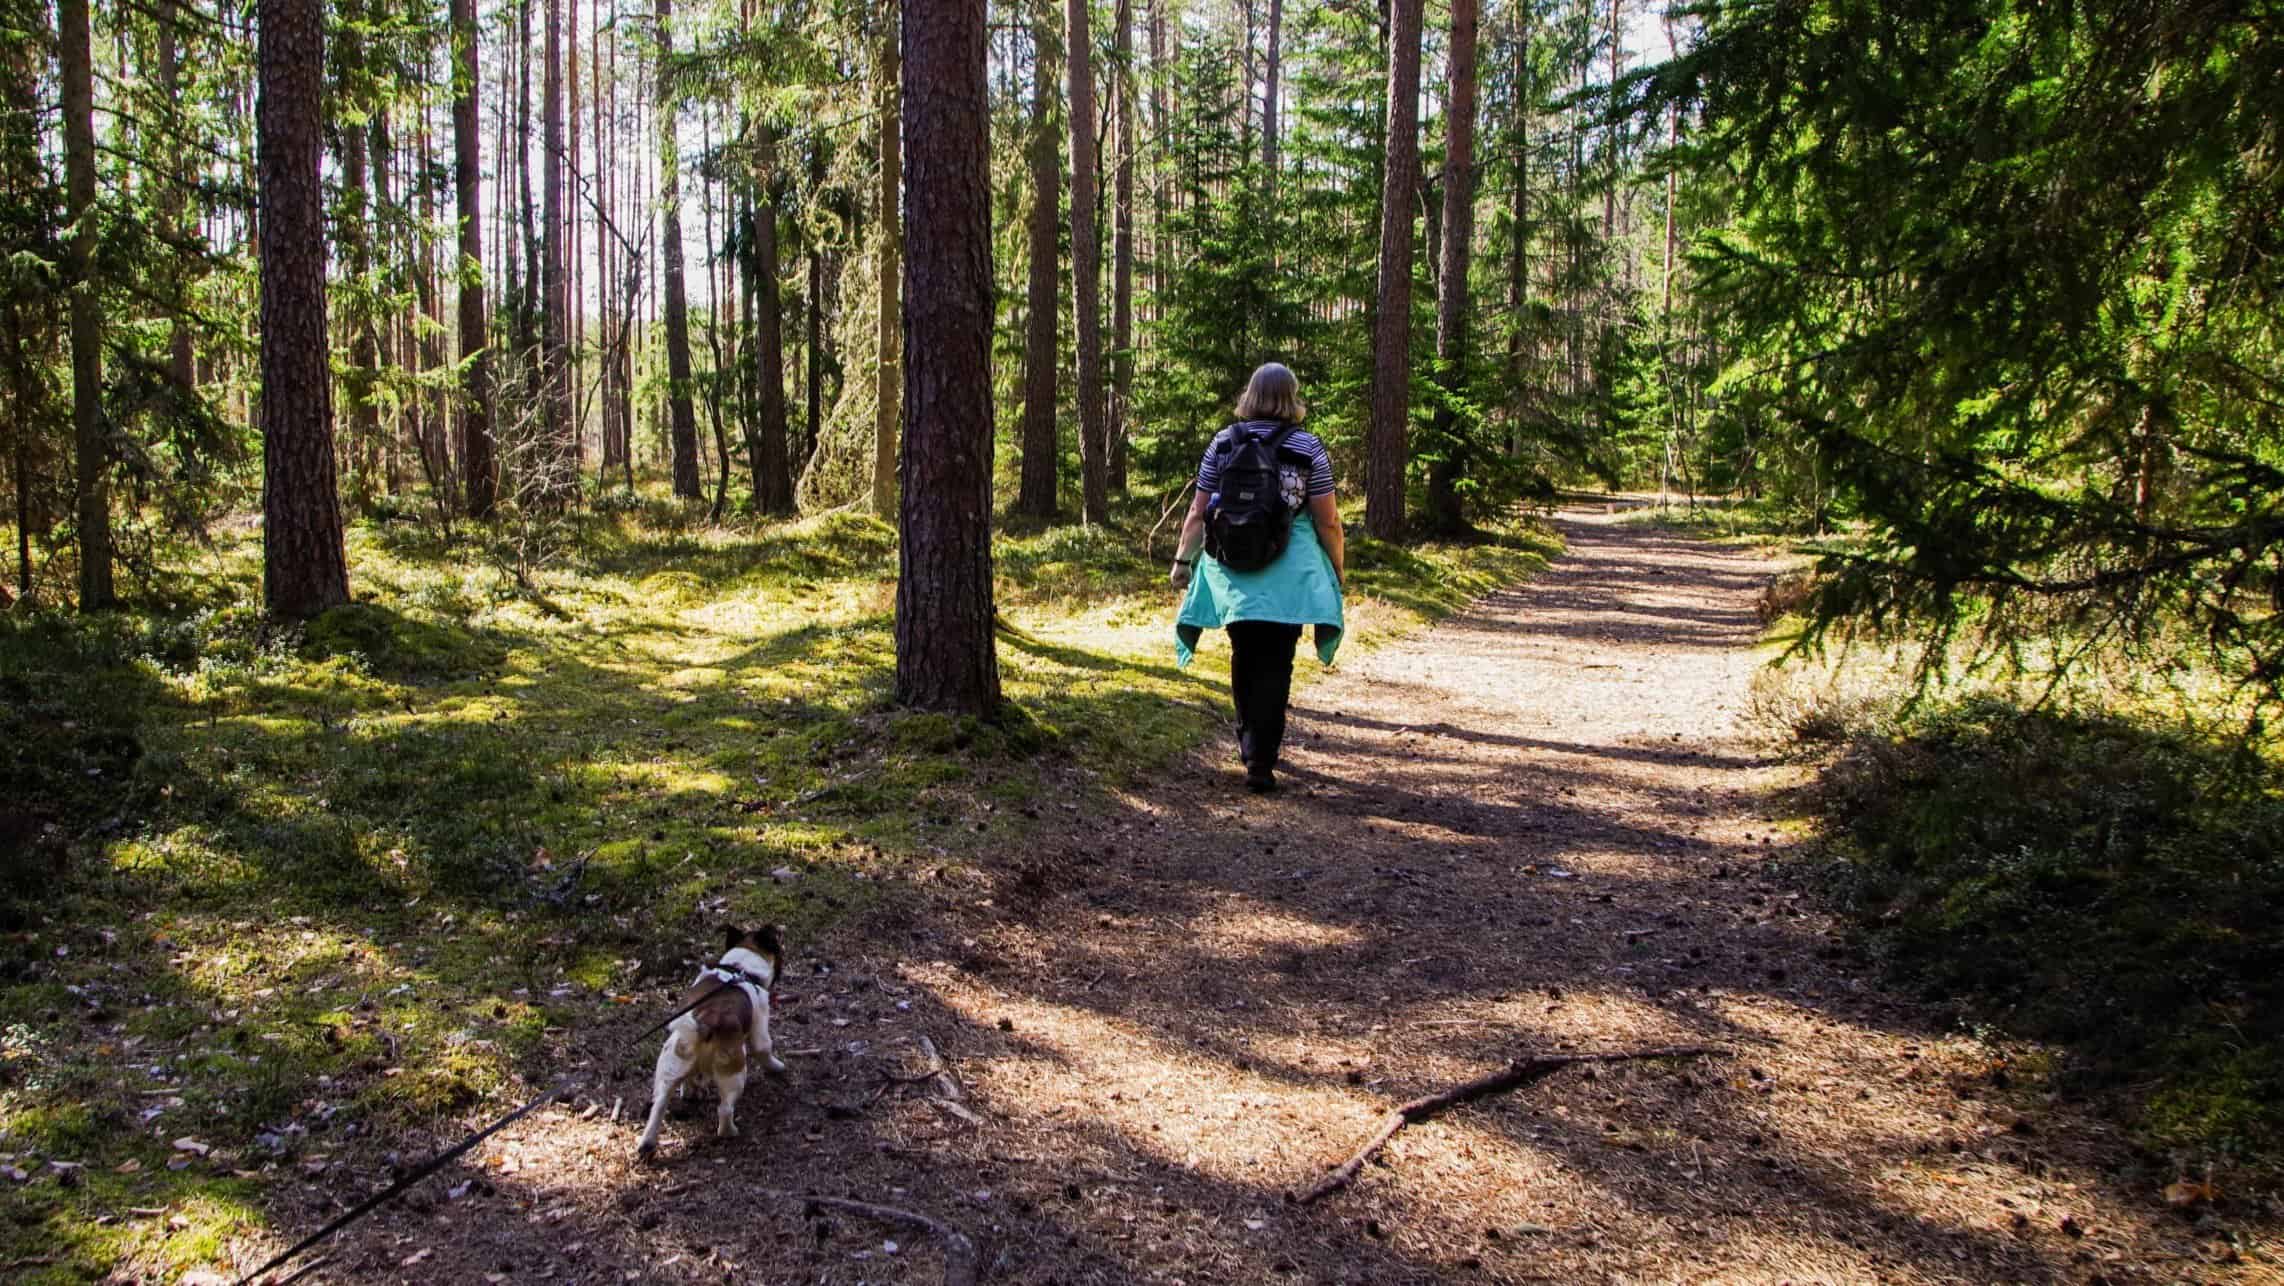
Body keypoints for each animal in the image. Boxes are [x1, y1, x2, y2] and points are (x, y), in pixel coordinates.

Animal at [639, 927, 790, 1155]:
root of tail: (705, 1025)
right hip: (734, 1072)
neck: (739, 968)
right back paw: (729, 1131)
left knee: (659, 1105)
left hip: (669, 1066)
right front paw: (777, 1067)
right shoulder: (760, 1028)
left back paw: (647, 1141)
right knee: (725, 1109)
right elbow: (764, 1050)